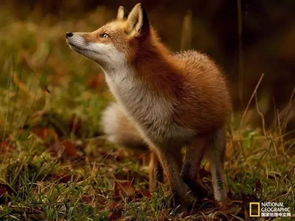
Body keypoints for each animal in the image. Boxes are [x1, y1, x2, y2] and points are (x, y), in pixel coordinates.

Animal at [66, 3, 232, 207]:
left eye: (104, 35)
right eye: (99, 31)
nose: (68, 33)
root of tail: (199, 55)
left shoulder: (202, 133)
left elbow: (187, 174)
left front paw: (200, 194)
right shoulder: (161, 144)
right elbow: (176, 185)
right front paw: (187, 203)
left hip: (217, 140)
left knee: (217, 172)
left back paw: (222, 201)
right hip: (162, 148)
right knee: (156, 171)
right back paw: (157, 192)